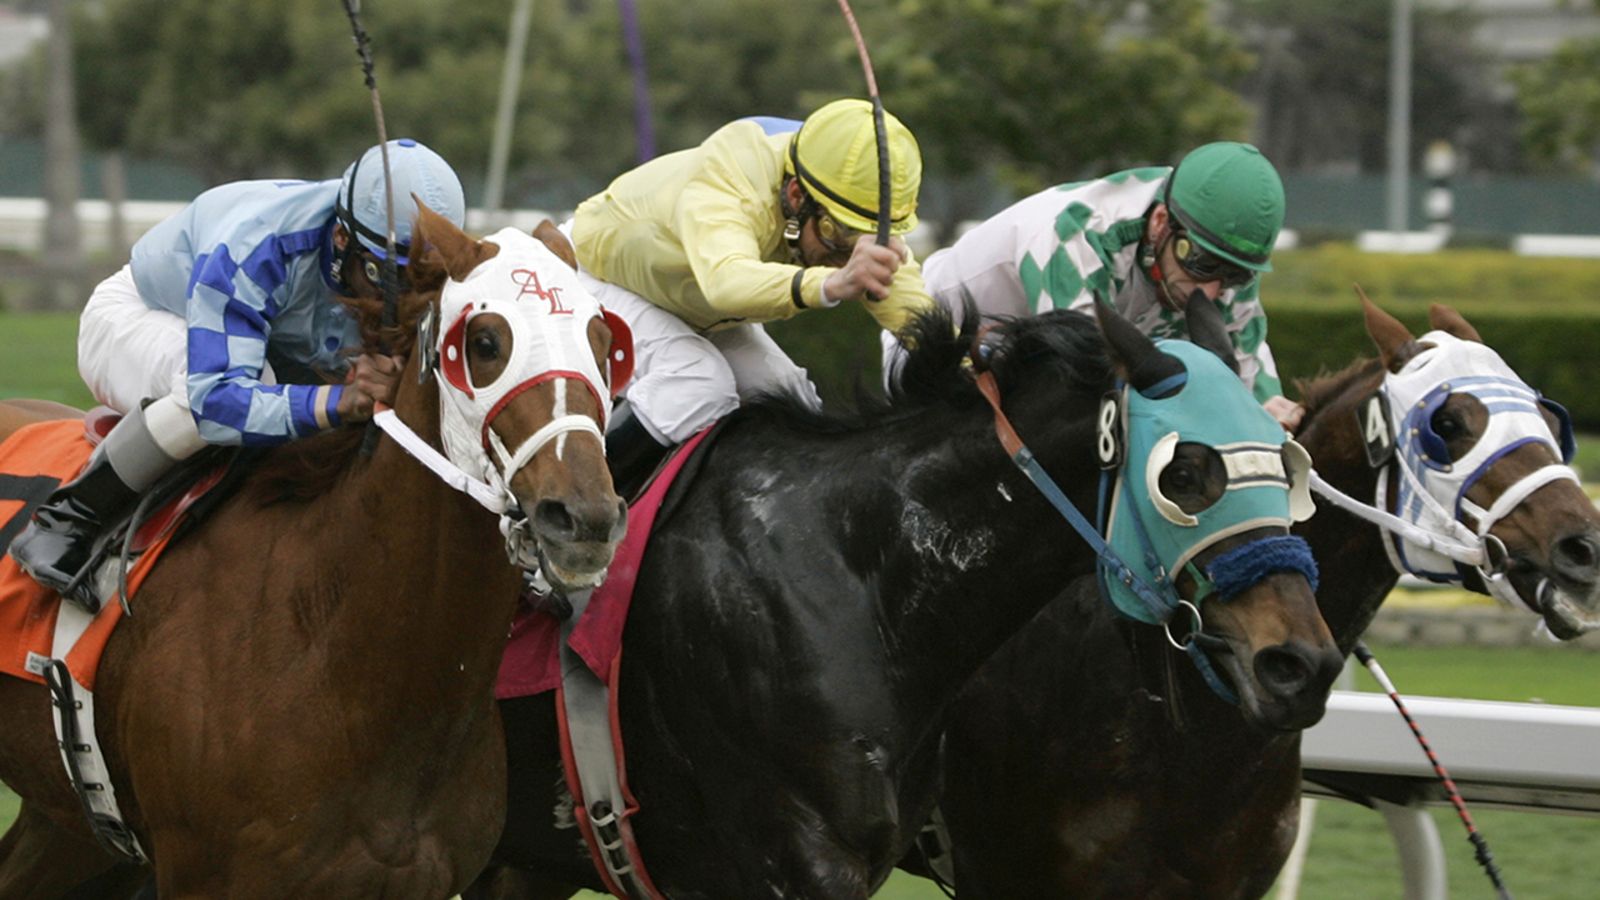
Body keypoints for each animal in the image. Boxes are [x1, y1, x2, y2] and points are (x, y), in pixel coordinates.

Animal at [0, 206, 627, 890]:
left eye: (603, 342)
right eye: (485, 342)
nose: (584, 516)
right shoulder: (203, 877)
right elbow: (216, 391)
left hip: (70, 825)